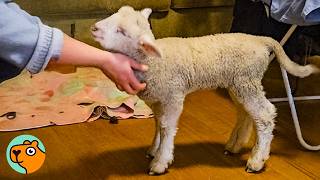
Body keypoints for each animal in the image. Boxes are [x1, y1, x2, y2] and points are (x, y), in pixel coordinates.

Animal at [90, 6, 320, 175]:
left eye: (121, 31)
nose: (94, 28)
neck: (152, 61)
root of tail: (261, 39)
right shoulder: (157, 100)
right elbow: (158, 125)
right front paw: (154, 150)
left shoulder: (173, 96)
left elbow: (167, 127)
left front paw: (160, 162)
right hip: (238, 84)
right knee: (246, 113)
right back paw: (235, 146)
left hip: (248, 80)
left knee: (264, 115)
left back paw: (257, 160)